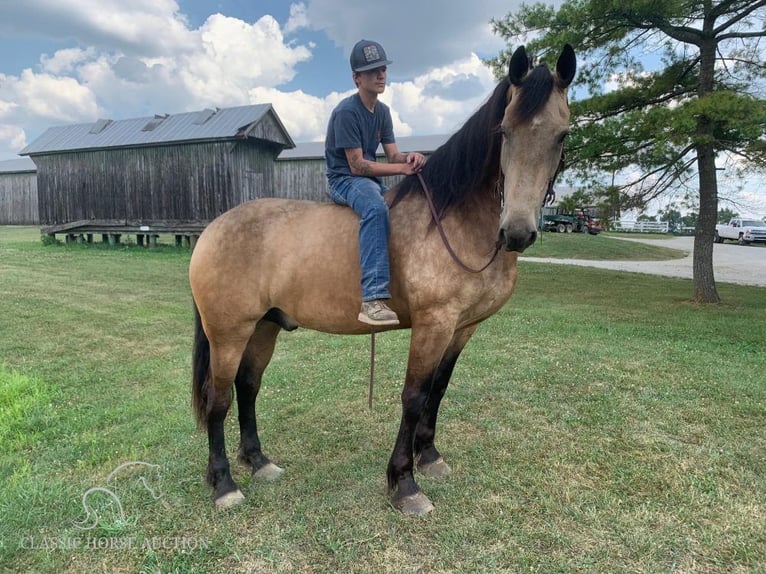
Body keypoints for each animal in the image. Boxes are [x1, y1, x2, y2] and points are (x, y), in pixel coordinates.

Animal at [190, 42, 576, 516]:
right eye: (503, 131)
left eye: (562, 135)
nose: (517, 232)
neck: (454, 219)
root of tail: (213, 229)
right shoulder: (433, 324)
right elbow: (414, 396)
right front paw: (404, 483)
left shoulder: (462, 328)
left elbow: (438, 390)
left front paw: (429, 456)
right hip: (228, 334)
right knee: (219, 399)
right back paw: (224, 483)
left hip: (264, 327)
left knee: (248, 387)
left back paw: (259, 461)